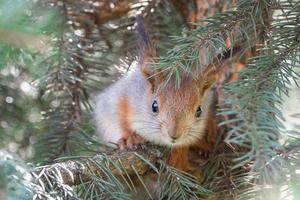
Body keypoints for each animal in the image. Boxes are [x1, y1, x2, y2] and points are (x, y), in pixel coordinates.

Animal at [94, 16, 218, 170]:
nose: (174, 134)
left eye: (199, 111)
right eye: (154, 106)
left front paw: (203, 145)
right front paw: (129, 138)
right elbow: (119, 119)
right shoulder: (122, 96)